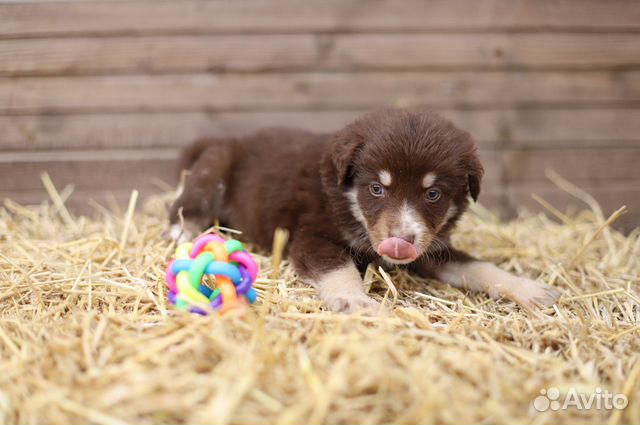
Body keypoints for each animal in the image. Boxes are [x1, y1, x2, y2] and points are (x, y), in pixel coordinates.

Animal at [166, 109, 560, 312]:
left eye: (433, 194)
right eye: (376, 188)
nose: (400, 241)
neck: (348, 202)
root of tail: (227, 139)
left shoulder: (431, 247)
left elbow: (476, 265)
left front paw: (528, 288)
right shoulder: (311, 235)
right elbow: (337, 267)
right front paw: (353, 299)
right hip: (213, 170)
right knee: (191, 200)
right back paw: (181, 230)